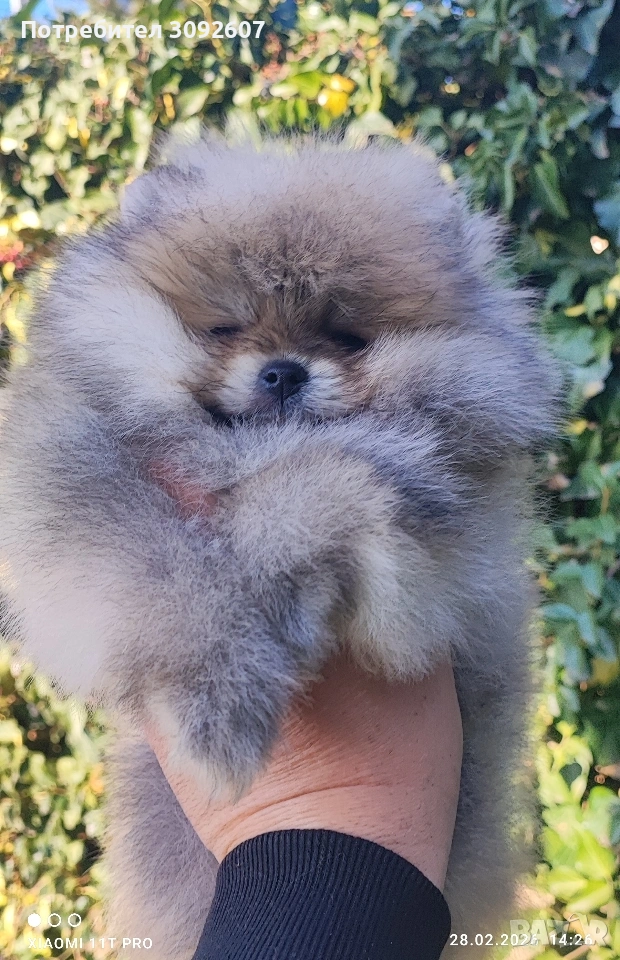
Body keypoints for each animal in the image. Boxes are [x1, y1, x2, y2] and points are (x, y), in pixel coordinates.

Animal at [0, 136, 558, 958]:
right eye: (226, 327)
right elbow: (163, 578)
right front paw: (217, 698)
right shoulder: (76, 495)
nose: (285, 371)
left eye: (348, 336)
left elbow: (341, 486)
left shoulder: (457, 560)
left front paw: (289, 532)